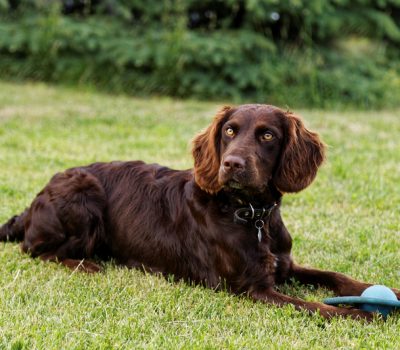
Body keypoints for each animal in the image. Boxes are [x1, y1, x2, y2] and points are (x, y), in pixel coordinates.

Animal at [1, 104, 398, 320]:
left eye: (268, 136)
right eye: (229, 131)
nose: (232, 164)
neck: (252, 214)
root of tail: (34, 202)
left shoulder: (283, 265)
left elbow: (333, 276)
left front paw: (381, 291)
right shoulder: (251, 288)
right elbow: (317, 306)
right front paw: (361, 316)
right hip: (83, 192)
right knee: (35, 249)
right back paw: (86, 265)